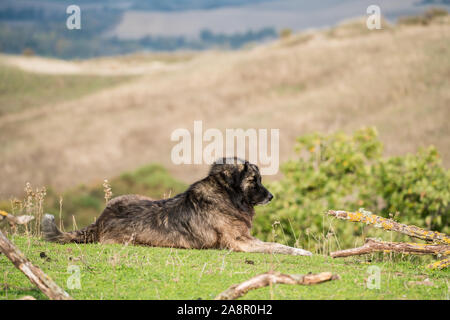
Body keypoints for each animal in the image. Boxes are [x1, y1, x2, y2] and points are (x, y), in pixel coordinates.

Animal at [42, 157, 312, 255]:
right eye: (254, 180)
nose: (272, 196)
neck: (225, 195)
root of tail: (100, 221)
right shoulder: (240, 242)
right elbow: (277, 246)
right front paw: (301, 252)